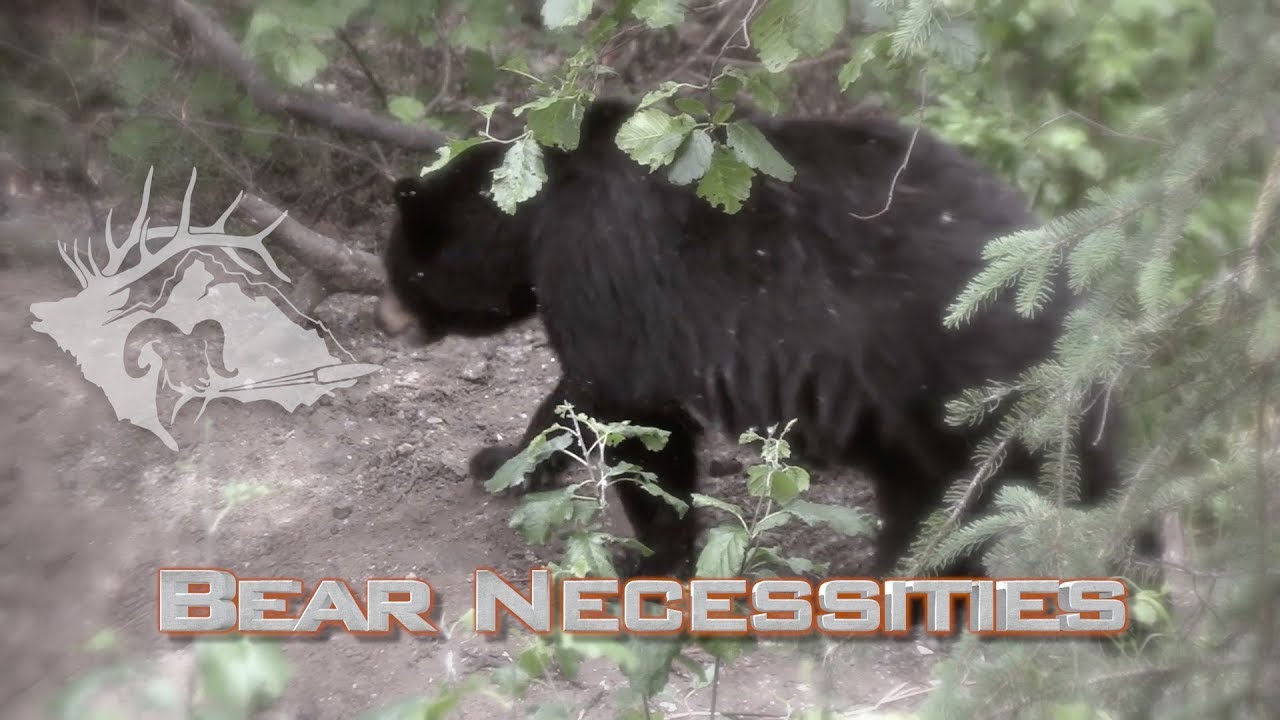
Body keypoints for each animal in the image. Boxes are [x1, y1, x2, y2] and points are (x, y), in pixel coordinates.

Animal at [374, 97, 1145, 582]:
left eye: (397, 266)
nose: (383, 318)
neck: (538, 207)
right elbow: (577, 402)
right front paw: (503, 460)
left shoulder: (605, 265)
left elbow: (630, 409)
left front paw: (652, 556)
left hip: (952, 357)